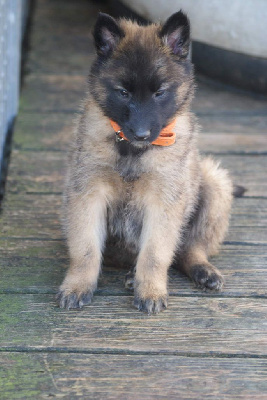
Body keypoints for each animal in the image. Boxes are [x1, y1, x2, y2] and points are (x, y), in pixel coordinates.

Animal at [57, 10, 234, 314]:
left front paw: (151, 290)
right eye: (123, 92)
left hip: (214, 183)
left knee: (189, 248)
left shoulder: (164, 200)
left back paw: (202, 271)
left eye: (159, 93)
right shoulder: (88, 193)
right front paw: (78, 285)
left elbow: (155, 253)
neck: (132, 151)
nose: (141, 134)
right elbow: (85, 249)